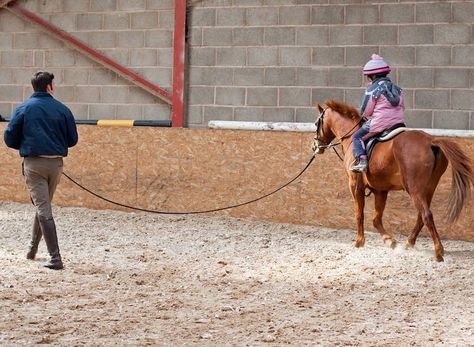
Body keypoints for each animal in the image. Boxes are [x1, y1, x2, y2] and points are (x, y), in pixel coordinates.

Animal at [312, 99, 472, 262]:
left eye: (316, 123)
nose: (315, 146)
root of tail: (431, 141)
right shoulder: (380, 190)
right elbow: (376, 219)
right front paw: (390, 241)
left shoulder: (355, 185)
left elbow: (359, 213)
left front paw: (359, 242)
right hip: (429, 188)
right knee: (421, 216)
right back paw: (409, 243)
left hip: (414, 189)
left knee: (426, 215)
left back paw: (438, 252)